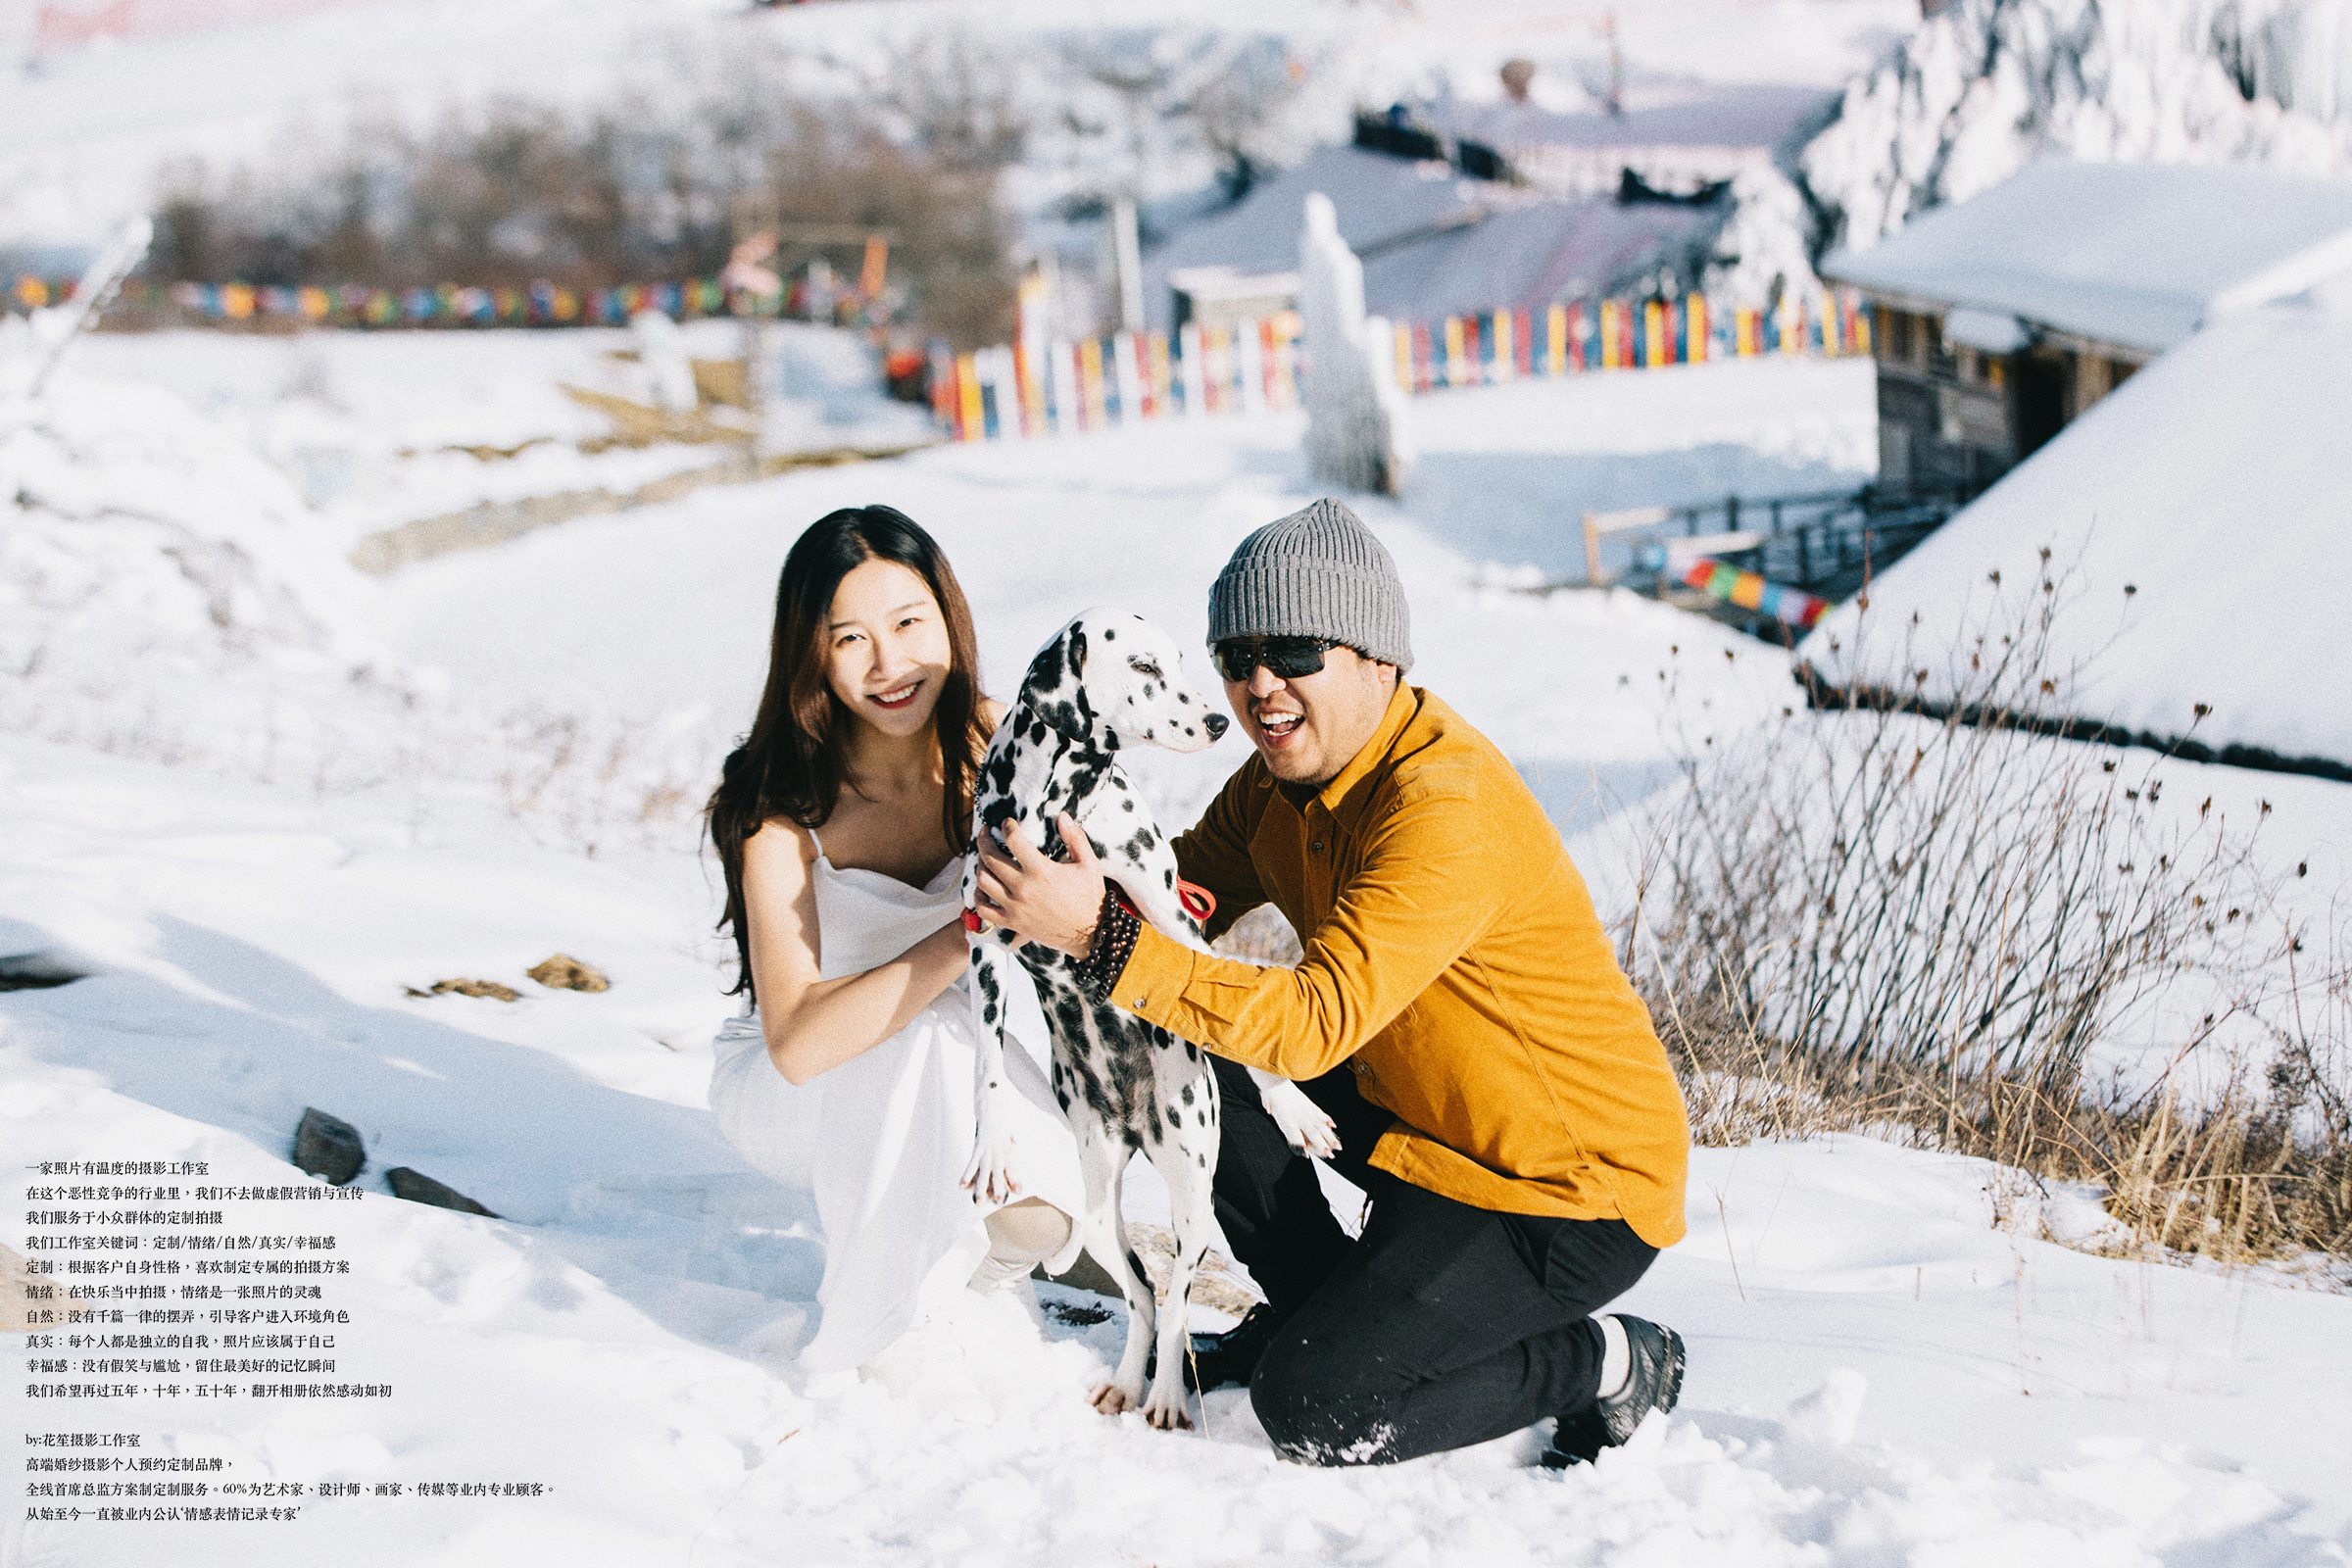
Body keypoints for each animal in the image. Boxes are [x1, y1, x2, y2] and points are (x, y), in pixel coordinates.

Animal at [959, 611, 1345, 1439]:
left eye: (1181, 659)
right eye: (1141, 664)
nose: (1215, 722)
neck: (1059, 805)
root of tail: (1135, 1121)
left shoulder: (1170, 914)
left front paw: (1291, 1105)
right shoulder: (983, 942)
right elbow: (988, 1065)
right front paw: (992, 1145)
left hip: (1193, 1197)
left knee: (1174, 1306)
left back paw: (1165, 1394)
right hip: (1098, 1209)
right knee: (1141, 1296)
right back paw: (1126, 1384)